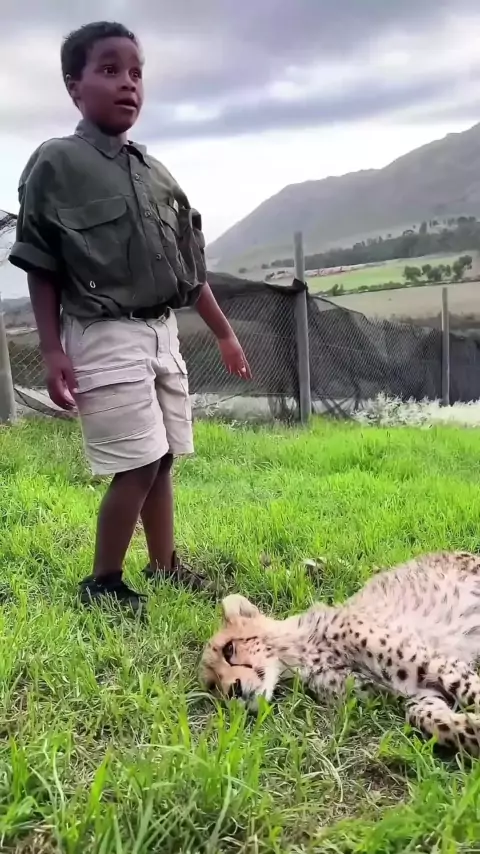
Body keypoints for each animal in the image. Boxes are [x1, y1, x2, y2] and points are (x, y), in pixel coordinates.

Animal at [200, 551, 480, 754]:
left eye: (229, 649)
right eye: (214, 686)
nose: (233, 690)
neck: (303, 655)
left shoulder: (437, 664)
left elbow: (470, 690)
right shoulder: (414, 692)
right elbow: (427, 717)